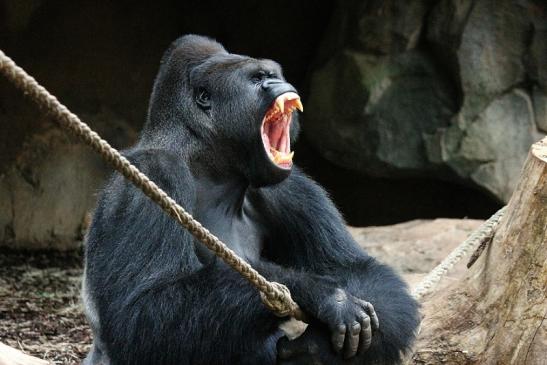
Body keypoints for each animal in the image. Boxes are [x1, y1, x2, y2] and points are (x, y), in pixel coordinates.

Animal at [82, 34, 420, 364]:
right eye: (257, 78)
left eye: (273, 75)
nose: (277, 83)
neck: (208, 164)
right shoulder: (151, 175)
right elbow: (141, 312)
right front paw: (318, 293)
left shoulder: (289, 187)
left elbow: (356, 268)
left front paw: (316, 349)